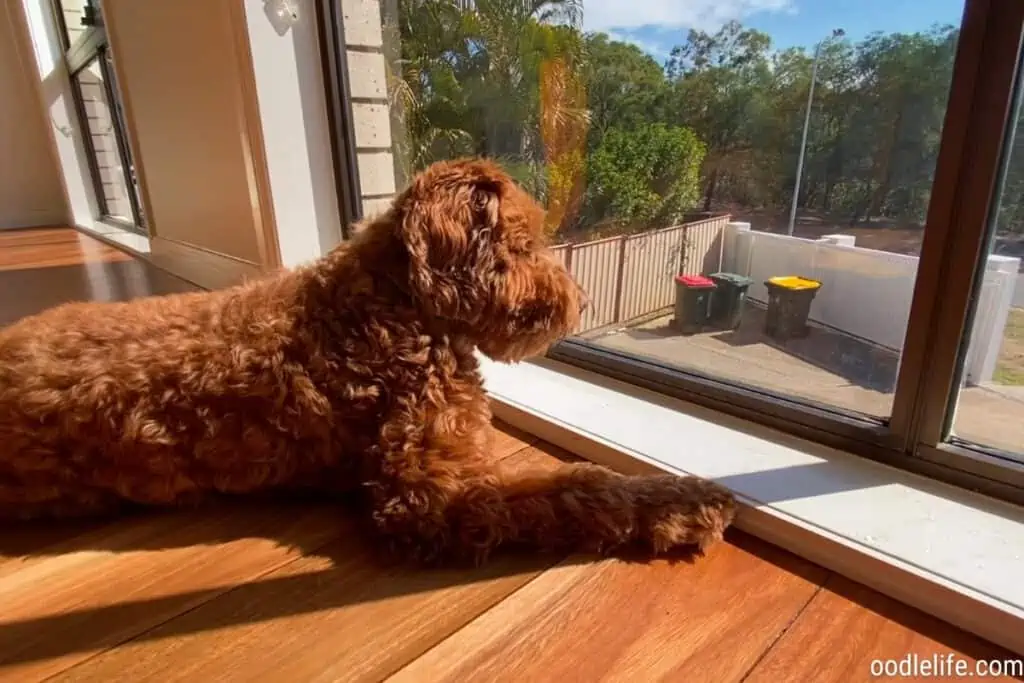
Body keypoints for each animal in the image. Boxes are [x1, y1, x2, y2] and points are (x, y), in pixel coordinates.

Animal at [2, 160, 737, 565]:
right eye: (526, 243)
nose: (575, 303)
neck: (394, 305)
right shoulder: (425, 490)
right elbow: (571, 488)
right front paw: (685, 502)